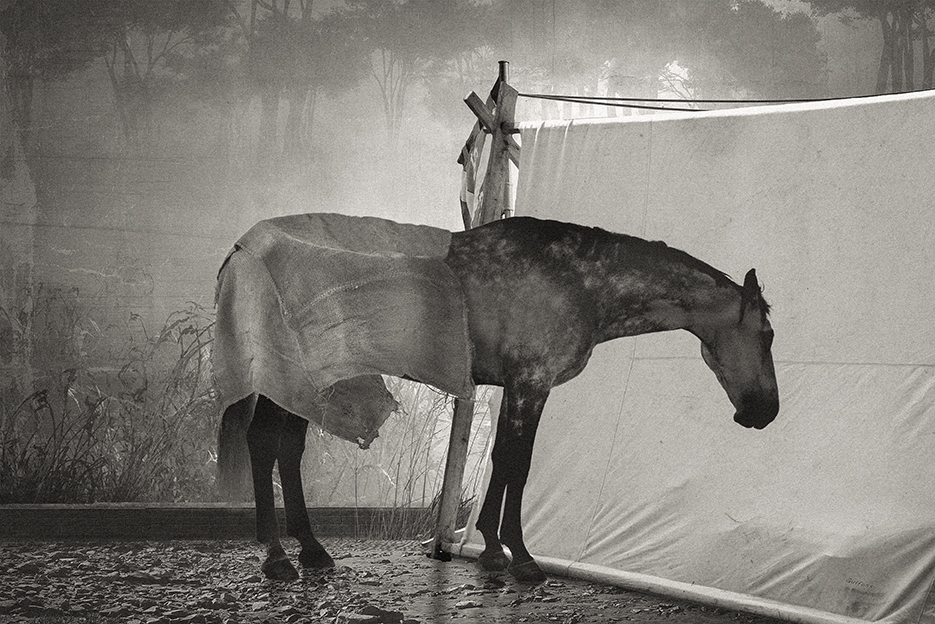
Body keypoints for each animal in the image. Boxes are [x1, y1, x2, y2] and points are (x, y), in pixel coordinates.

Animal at [216, 215, 779, 584]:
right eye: (767, 335)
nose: (765, 412)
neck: (583, 282)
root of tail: (244, 247)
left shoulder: (517, 386)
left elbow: (501, 459)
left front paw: (490, 548)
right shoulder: (533, 383)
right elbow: (518, 463)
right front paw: (521, 557)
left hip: (309, 384)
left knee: (288, 450)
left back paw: (311, 550)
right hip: (285, 380)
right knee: (264, 444)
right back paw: (277, 558)